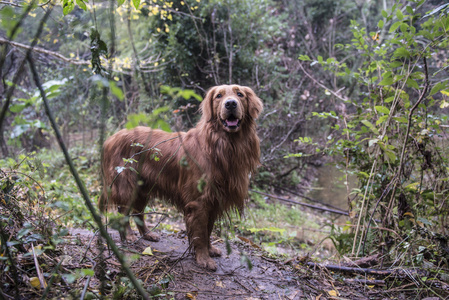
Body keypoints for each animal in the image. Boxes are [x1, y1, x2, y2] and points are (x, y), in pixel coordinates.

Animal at [99, 84, 262, 270]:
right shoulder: (198, 202)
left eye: (240, 94)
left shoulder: (212, 201)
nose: (230, 104)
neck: (219, 146)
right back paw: (128, 236)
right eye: (219, 96)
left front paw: (210, 249)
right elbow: (200, 234)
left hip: (142, 189)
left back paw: (147, 234)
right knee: (123, 212)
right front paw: (203, 258)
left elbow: (208, 230)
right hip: (126, 185)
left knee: (138, 212)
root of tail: (110, 138)